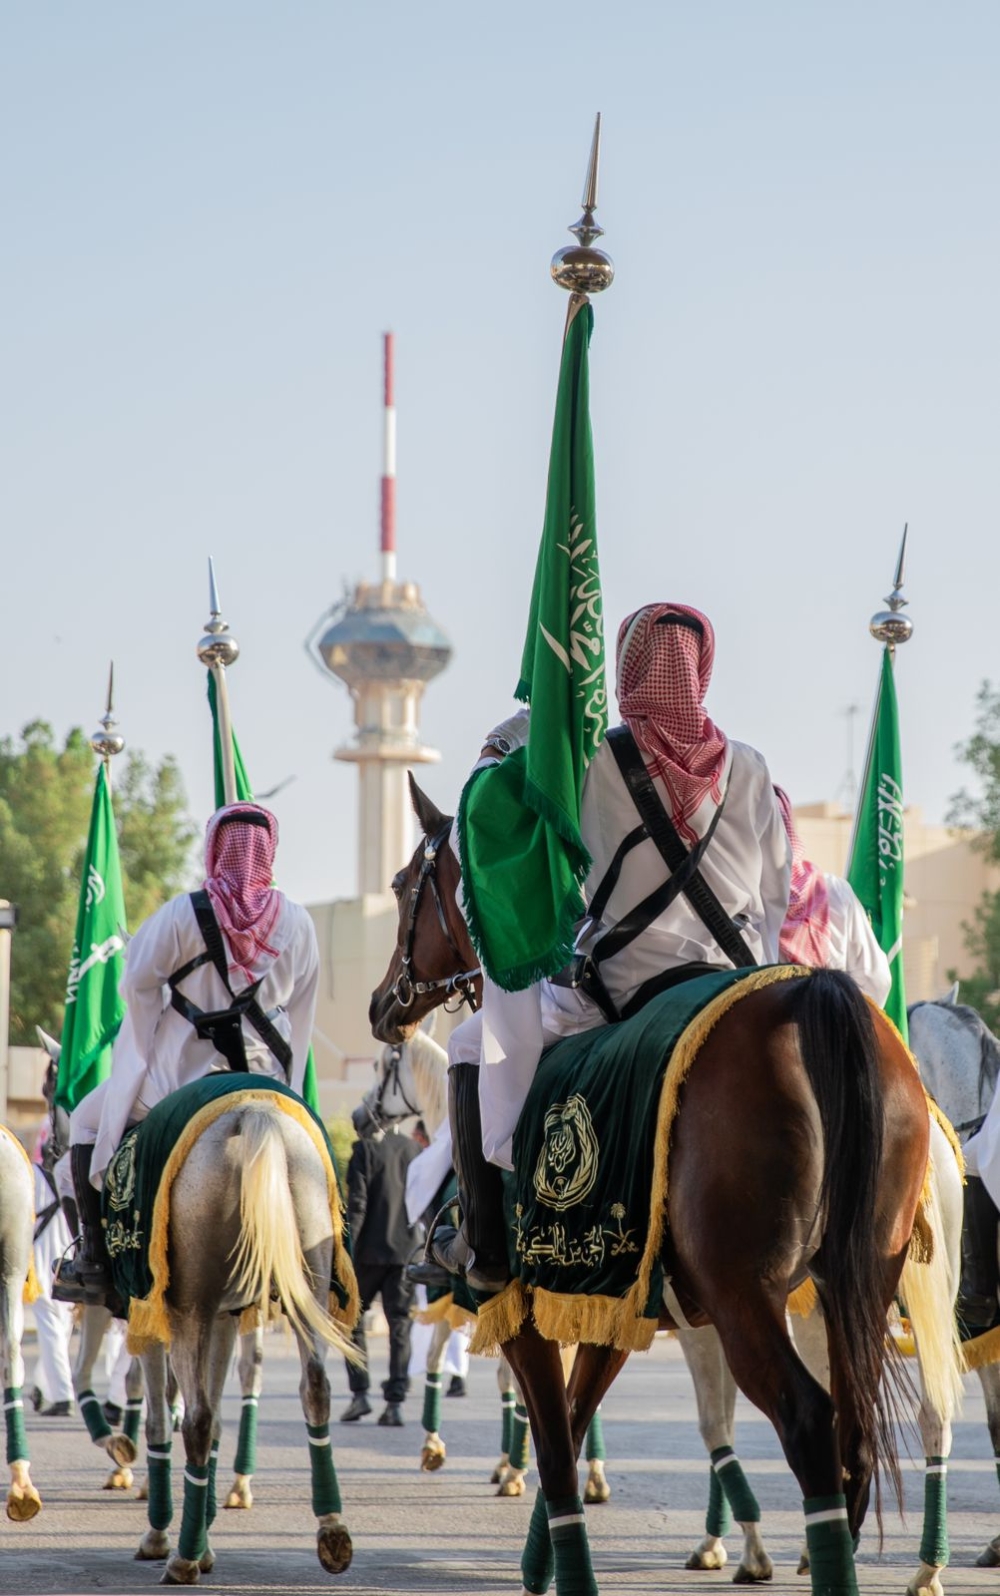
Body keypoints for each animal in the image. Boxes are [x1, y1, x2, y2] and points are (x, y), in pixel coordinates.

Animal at [373, 778, 944, 1596]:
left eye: (401, 886)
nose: (383, 1004)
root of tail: (812, 999)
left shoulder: (517, 1305)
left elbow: (555, 1441)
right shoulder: (610, 1301)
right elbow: (574, 1419)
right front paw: (544, 1553)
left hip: (747, 1300)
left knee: (811, 1421)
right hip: (853, 1284)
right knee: (857, 1434)